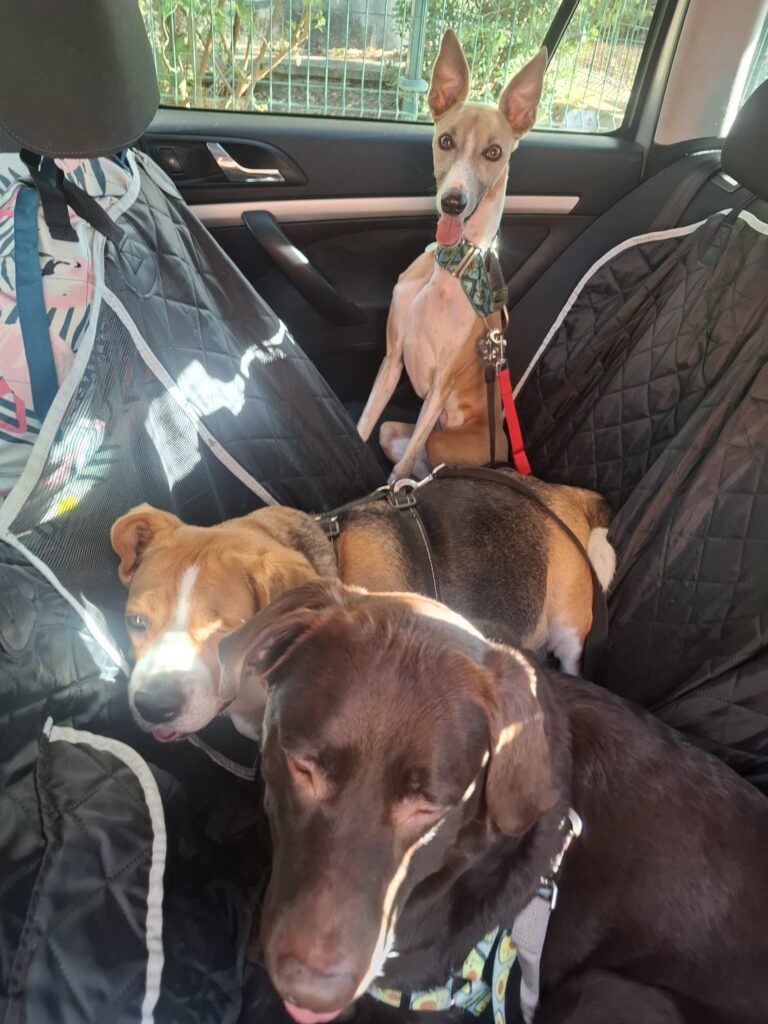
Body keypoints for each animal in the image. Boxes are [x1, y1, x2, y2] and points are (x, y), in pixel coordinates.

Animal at [357, 31, 547, 482]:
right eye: (445, 141)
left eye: (494, 152)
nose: (453, 203)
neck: (452, 270)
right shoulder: (392, 360)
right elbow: (362, 426)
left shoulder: (442, 384)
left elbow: (399, 471)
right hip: (397, 431)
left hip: (443, 440)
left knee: (419, 459)